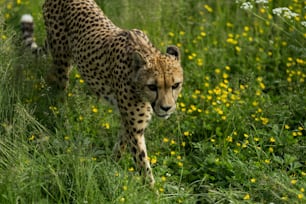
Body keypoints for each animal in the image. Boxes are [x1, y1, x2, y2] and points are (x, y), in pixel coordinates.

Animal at [23, 0, 184, 186]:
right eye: (152, 87)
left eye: (175, 85)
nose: (167, 108)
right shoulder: (135, 129)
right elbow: (144, 167)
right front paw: (152, 190)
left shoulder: (129, 124)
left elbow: (120, 146)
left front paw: (110, 167)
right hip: (62, 61)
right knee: (59, 91)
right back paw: (60, 117)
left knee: (50, 76)